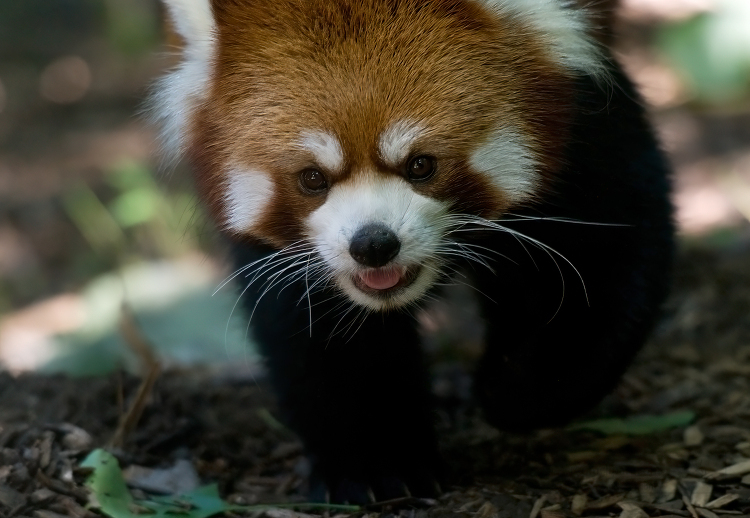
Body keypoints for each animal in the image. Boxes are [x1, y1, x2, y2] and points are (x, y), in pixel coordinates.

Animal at [153, 0, 676, 508]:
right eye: (312, 178)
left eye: (421, 165)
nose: (372, 244)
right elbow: (316, 331)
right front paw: (377, 466)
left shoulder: (586, 116)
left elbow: (600, 260)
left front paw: (518, 388)